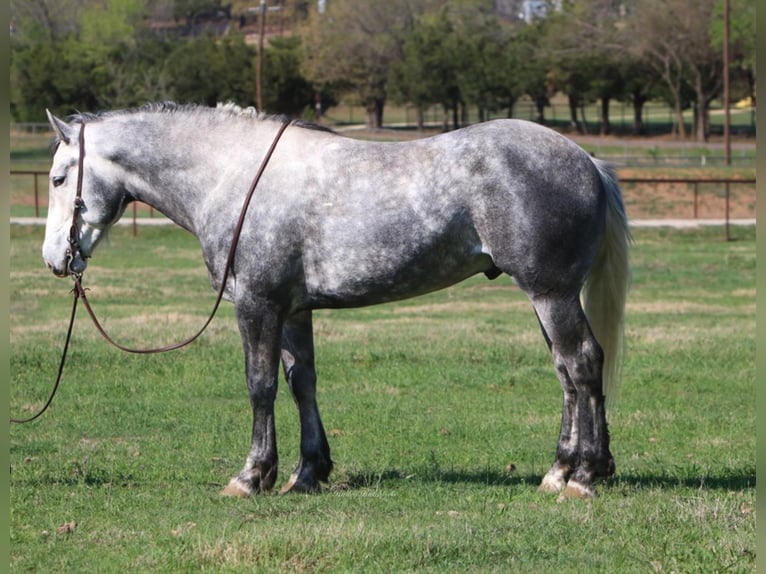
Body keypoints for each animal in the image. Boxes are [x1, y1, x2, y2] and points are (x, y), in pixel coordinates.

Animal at [42, 106, 632, 502]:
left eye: (57, 178)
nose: (54, 258)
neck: (234, 176)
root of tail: (585, 160)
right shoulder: (294, 311)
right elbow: (301, 383)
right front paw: (308, 473)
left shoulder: (256, 304)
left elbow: (260, 386)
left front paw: (251, 476)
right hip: (544, 298)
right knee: (565, 373)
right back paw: (558, 470)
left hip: (551, 295)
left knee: (583, 364)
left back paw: (585, 476)